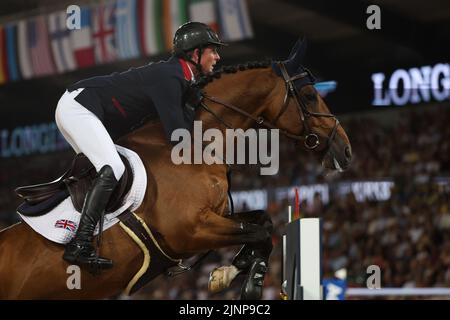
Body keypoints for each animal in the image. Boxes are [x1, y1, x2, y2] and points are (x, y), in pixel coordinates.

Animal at [0, 40, 352, 300]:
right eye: (310, 95)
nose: (345, 151)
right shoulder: (191, 231)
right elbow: (260, 231)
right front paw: (245, 280)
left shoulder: (214, 217)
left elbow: (262, 221)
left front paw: (231, 271)